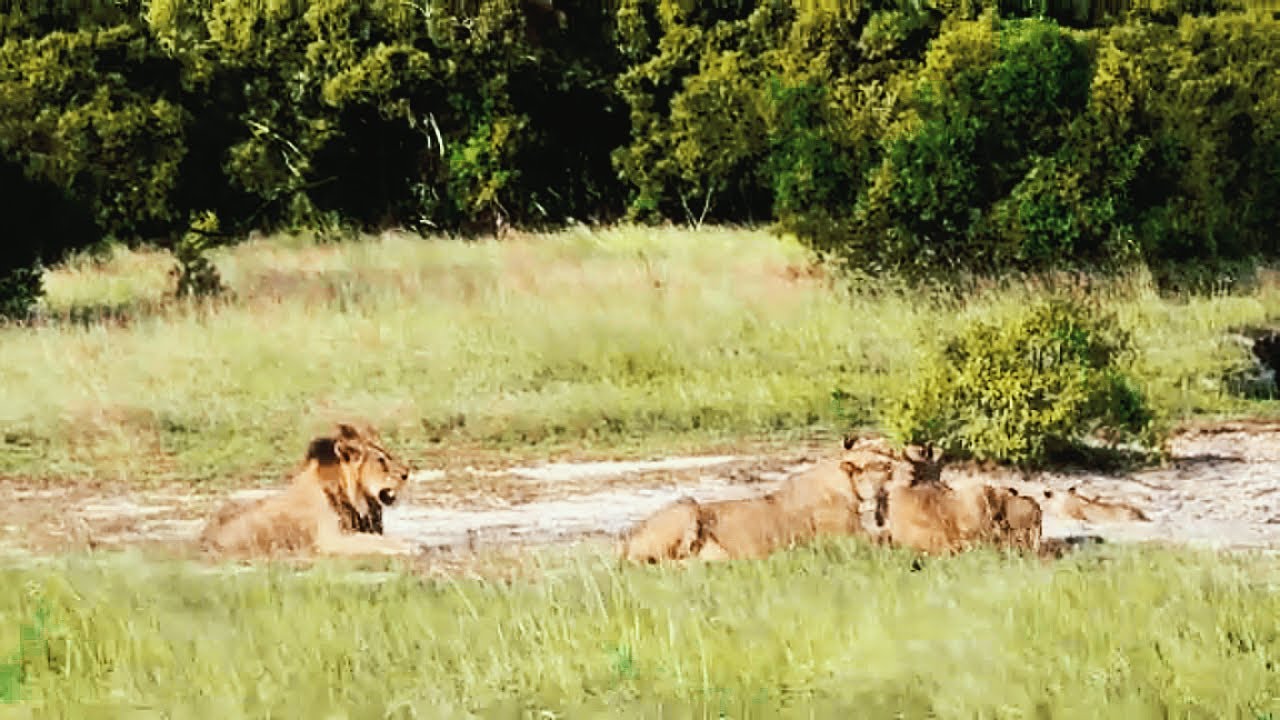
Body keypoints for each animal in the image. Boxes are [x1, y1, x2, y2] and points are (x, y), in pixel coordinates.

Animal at [198, 423, 419, 558]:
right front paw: (408, 546)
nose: (406, 473)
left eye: (388, 454)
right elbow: (374, 541)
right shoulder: (330, 540)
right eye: (381, 461)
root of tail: (205, 536)